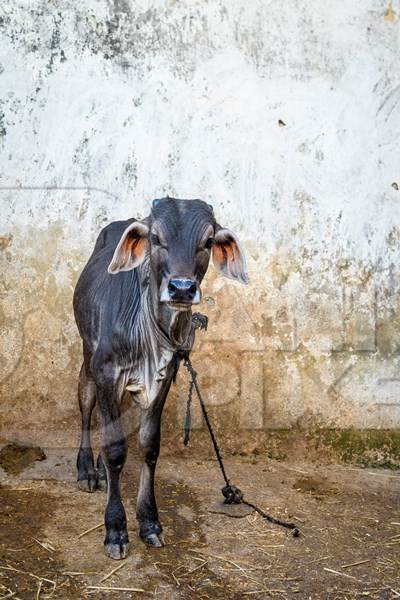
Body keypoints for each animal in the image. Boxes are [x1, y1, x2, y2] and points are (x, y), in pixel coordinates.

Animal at [72, 198, 247, 556]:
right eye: (155, 238)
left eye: (208, 240)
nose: (181, 288)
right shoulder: (107, 371)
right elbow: (116, 450)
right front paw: (116, 529)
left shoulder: (164, 376)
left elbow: (149, 446)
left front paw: (150, 523)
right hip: (88, 357)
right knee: (86, 404)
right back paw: (86, 470)